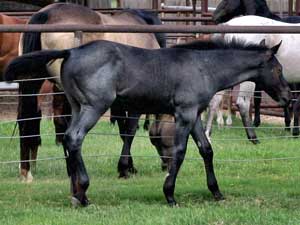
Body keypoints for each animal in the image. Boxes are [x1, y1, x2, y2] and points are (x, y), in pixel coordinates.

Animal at [4, 38, 290, 206]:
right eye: (278, 69)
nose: (288, 96)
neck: (203, 66)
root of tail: (72, 50)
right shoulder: (184, 114)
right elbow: (180, 152)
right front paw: (170, 194)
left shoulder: (194, 115)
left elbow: (206, 150)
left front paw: (216, 192)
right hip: (94, 106)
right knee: (74, 138)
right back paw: (83, 193)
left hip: (77, 106)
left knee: (68, 140)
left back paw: (75, 194)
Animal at [17, 2, 164, 182]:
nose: (166, 165)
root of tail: (45, 14)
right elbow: (129, 130)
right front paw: (124, 168)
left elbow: (123, 130)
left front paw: (129, 166)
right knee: (64, 124)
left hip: (31, 83)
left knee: (25, 119)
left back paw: (26, 171)